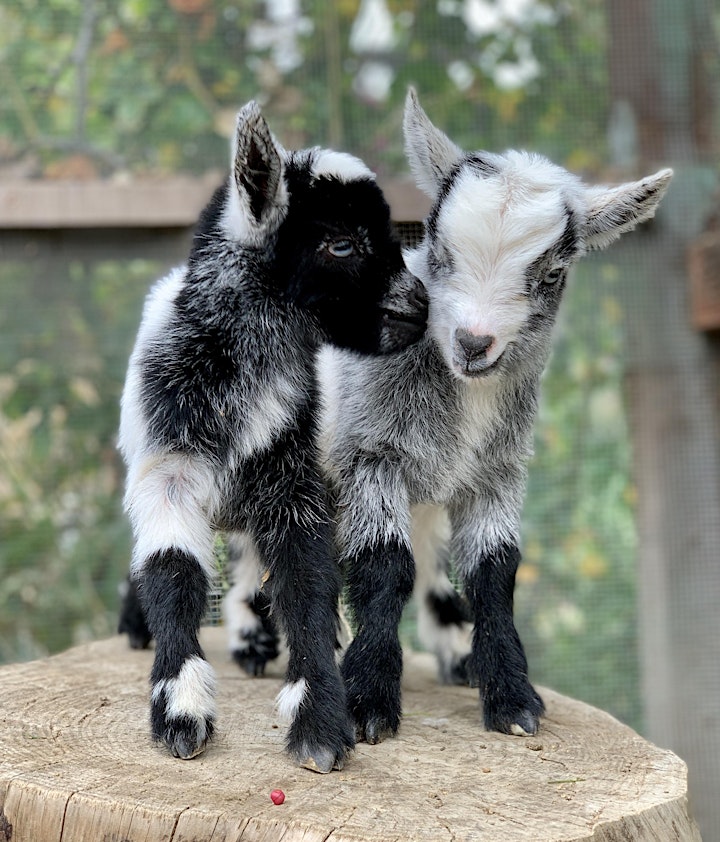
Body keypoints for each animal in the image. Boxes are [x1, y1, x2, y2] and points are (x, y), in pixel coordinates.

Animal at [118, 101, 428, 772]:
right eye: (341, 242)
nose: (420, 308)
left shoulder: (293, 475)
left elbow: (306, 579)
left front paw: (319, 721)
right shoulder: (169, 465)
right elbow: (173, 570)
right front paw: (180, 710)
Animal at [318, 88, 672, 740]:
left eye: (553, 272)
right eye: (437, 250)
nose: (472, 343)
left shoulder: (498, 470)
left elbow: (494, 571)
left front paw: (511, 697)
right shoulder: (369, 452)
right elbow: (384, 565)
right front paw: (367, 701)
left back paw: (454, 654)